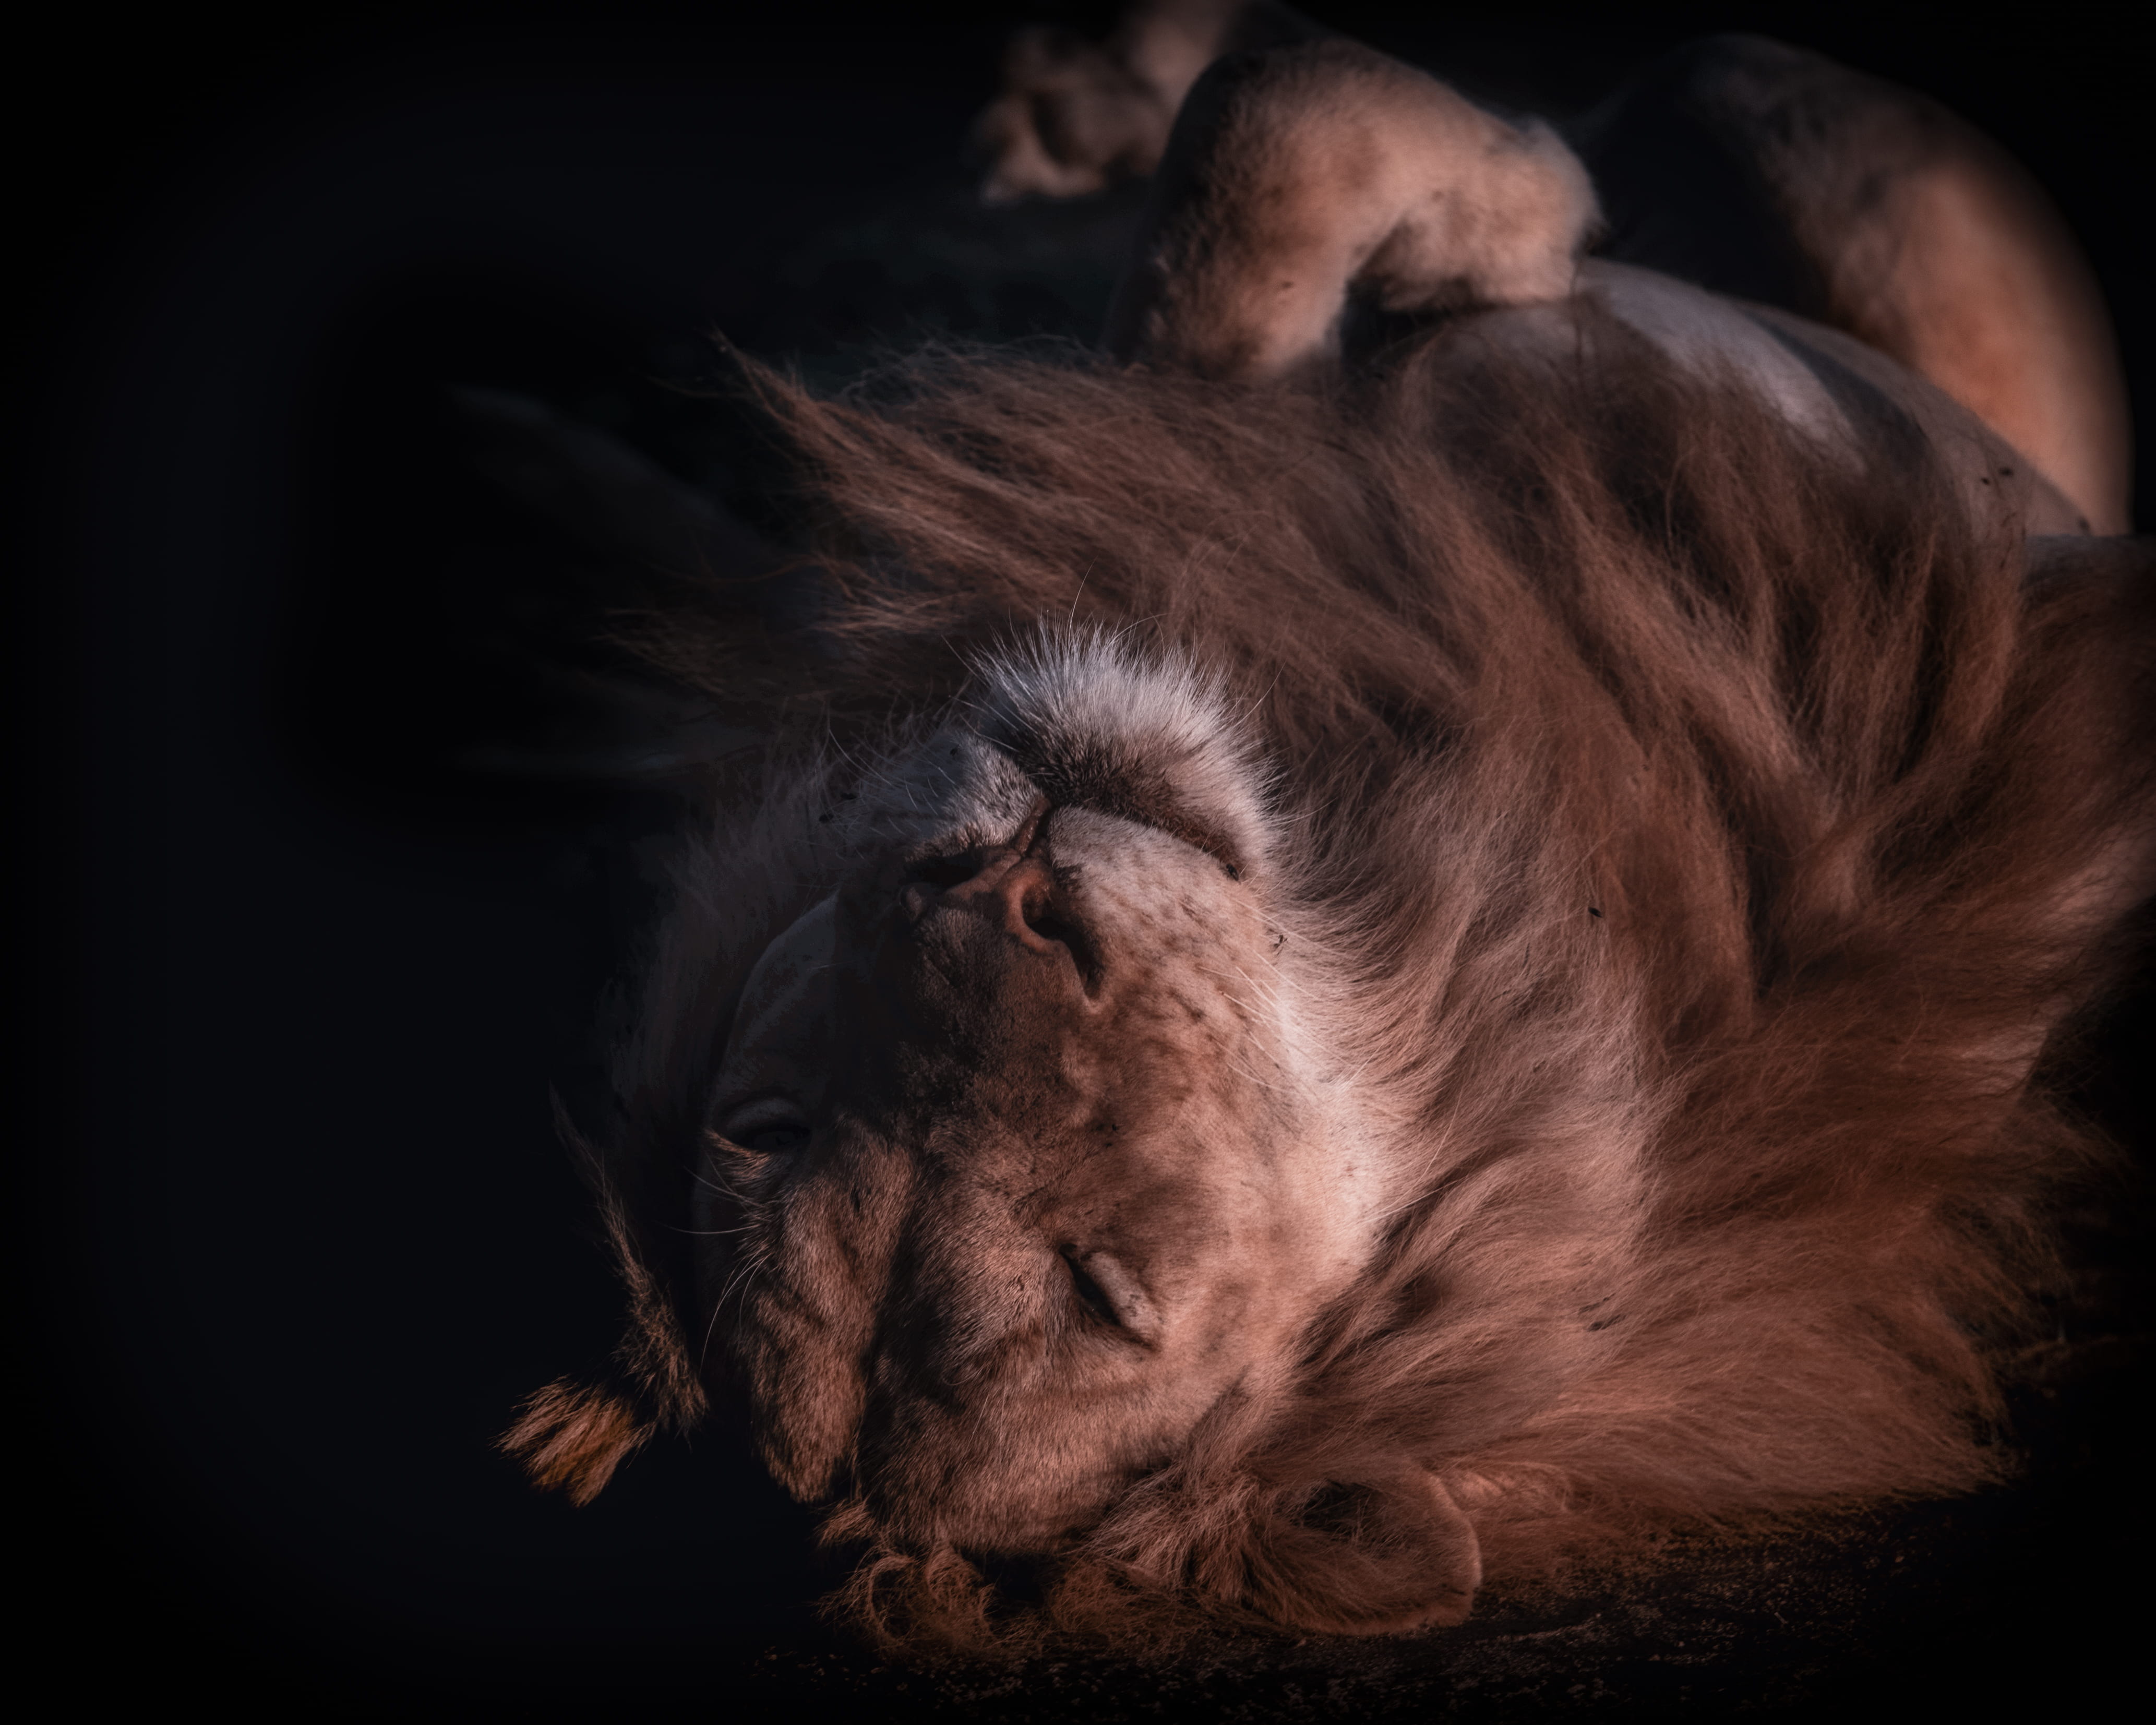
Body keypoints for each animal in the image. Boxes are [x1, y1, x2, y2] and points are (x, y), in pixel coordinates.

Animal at [497, 17, 2154, 1653]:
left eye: (765, 1127)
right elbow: (1293, 132)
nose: (1009, 896)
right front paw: (1524, 207)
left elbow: (1238, 182)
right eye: (1106, 1294)